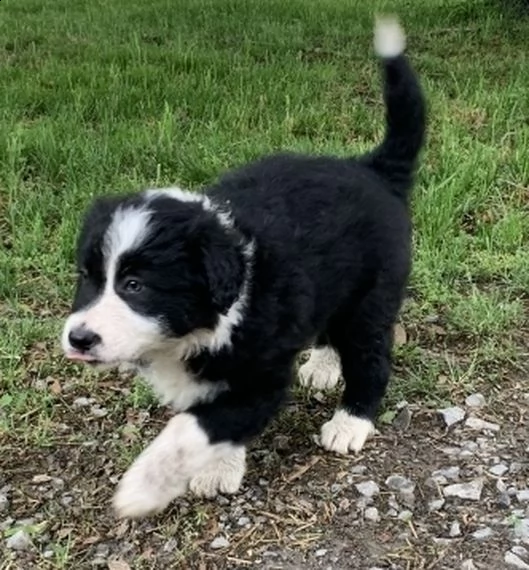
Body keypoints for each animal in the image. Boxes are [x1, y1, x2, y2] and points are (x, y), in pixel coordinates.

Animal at [62, 17, 424, 516]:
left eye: (135, 285)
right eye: (89, 277)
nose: (78, 338)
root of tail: (371, 169)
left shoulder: (260, 377)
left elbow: (198, 426)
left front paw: (143, 487)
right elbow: (208, 422)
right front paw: (219, 470)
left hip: (372, 297)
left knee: (370, 356)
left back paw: (351, 422)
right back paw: (324, 364)